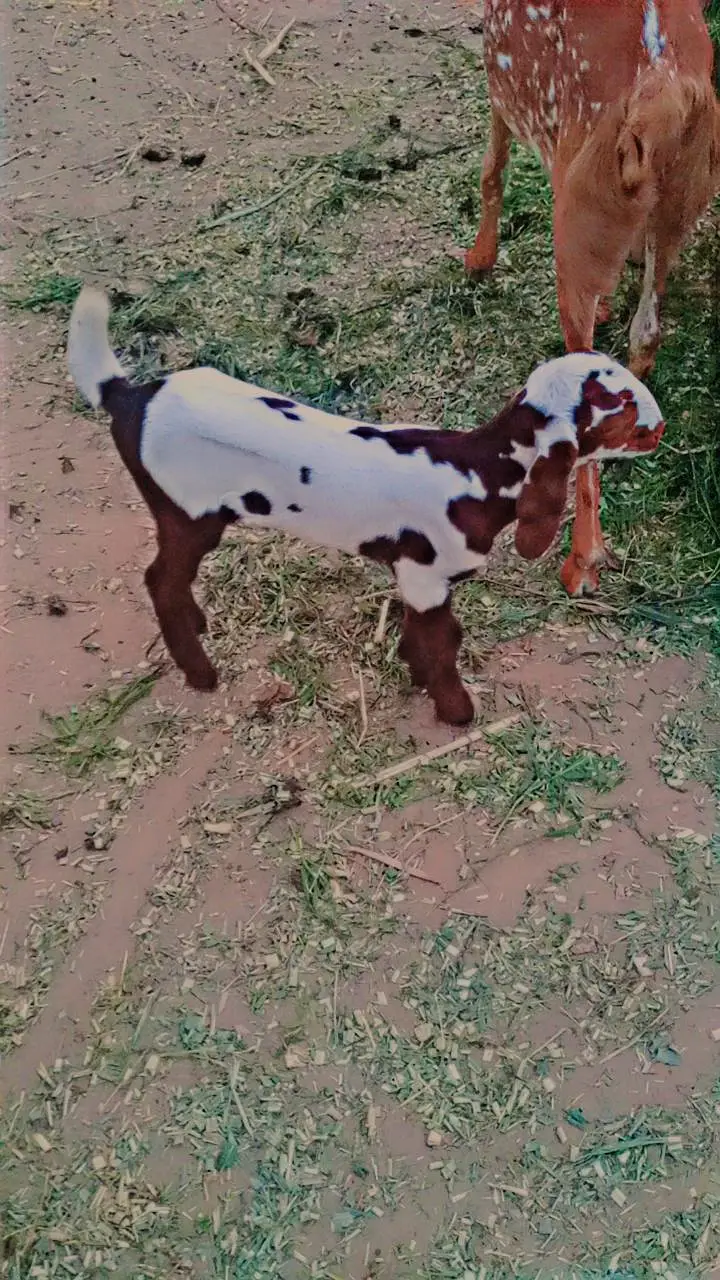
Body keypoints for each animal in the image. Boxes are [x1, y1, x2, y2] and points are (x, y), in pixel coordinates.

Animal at [68, 286, 664, 725]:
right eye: (619, 408)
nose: (660, 428)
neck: (479, 470)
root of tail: (129, 397)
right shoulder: (425, 575)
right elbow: (443, 642)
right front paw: (456, 712)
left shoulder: (417, 578)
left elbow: (428, 633)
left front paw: (414, 673)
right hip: (187, 511)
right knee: (161, 580)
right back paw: (199, 672)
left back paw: (197, 624)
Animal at [464, 0, 720, 597]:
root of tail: (659, 85)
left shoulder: (501, 89)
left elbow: (491, 169)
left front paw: (479, 257)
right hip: (682, 191)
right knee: (645, 333)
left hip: (578, 205)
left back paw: (582, 560)